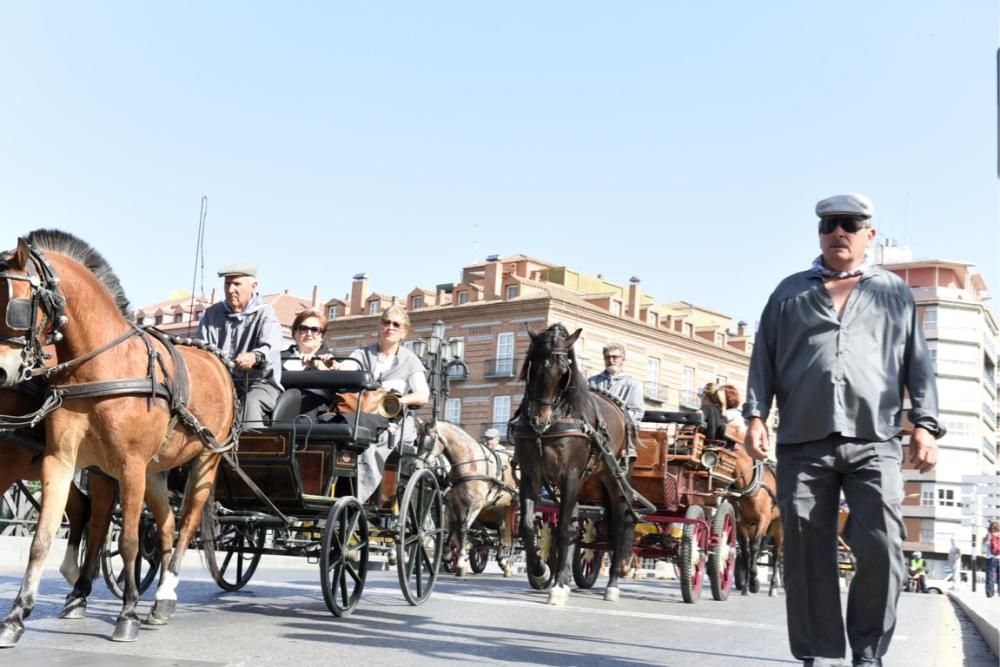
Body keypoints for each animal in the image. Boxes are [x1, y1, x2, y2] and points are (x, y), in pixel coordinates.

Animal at [0, 231, 234, 648]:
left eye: (17, 306)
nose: (1, 371)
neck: (100, 368)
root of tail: (219, 362)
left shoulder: (129, 466)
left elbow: (128, 542)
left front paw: (127, 615)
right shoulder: (61, 461)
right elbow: (42, 539)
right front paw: (15, 617)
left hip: (205, 462)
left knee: (186, 524)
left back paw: (164, 593)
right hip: (152, 472)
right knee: (163, 526)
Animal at [418, 420, 520, 576]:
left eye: (430, 441)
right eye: (416, 441)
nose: (416, 465)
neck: (471, 464)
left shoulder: (474, 505)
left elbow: (463, 528)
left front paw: (460, 560)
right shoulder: (456, 505)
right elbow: (454, 526)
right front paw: (447, 553)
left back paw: (507, 560)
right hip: (497, 508)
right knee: (501, 530)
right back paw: (502, 560)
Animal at [508, 326, 632, 608]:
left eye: (564, 371)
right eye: (533, 366)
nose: (538, 420)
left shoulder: (570, 476)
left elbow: (564, 528)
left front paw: (557, 586)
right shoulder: (531, 475)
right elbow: (528, 527)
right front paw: (541, 571)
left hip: (612, 479)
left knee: (619, 526)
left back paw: (612, 585)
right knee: (577, 525)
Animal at [728, 440, 780, 596]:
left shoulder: (764, 519)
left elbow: (755, 546)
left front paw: (754, 582)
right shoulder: (742, 523)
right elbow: (747, 551)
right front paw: (747, 584)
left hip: (778, 525)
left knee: (776, 554)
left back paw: (773, 586)